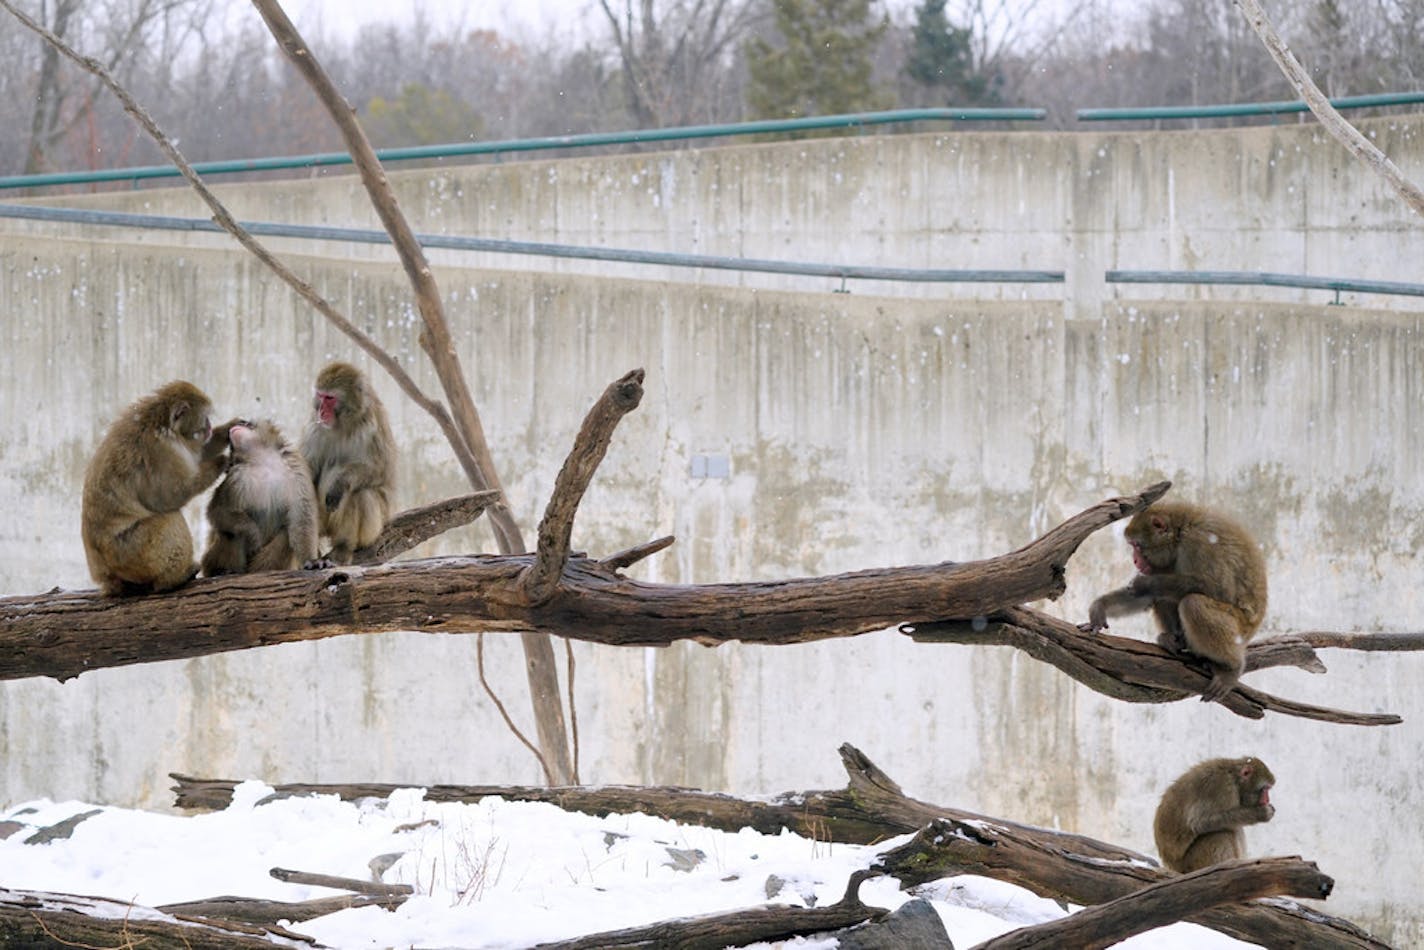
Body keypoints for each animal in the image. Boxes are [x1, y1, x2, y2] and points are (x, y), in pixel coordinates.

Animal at [83, 378, 233, 595]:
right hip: (131, 552)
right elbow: (172, 495)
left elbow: (197, 454)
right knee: (169, 517)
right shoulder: (161, 450)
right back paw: (173, 579)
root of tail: (104, 575)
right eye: (205, 418)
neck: (158, 421)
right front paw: (222, 460)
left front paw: (230, 429)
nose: (210, 427)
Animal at [200, 418, 326, 575]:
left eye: (248, 424)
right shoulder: (236, 477)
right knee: (229, 531)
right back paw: (223, 570)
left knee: (285, 533)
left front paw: (312, 560)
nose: (237, 426)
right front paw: (251, 533)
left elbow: (302, 519)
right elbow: (218, 510)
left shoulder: (297, 471)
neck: (263, 461)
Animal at [297, 360, 393, 561]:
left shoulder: (372, 426)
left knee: (360, 493)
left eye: (330, 398)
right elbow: (305, 469)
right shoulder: (314, 427)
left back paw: (343, 547)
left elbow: (380, 470)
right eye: (320, 396)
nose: (321, 411)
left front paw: (340, 483)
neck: (342, 425)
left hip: (375, 529)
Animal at [1076, 501, 1270, 703]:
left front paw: (1146, 583)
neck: (1180, 531)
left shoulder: (1200, 541)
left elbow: (1219, 588)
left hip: (1239, 628)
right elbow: (1145, 596)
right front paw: (1099, 608)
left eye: (1136, 545)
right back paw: (1172, 640)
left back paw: (1232, 667)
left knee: (1192, 603)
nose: (1135, 560)